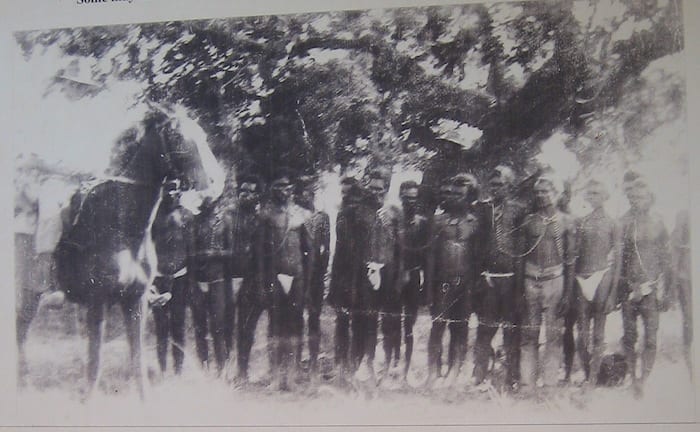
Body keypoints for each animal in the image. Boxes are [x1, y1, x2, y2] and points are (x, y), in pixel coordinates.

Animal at [53, 106, 223, 400]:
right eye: (177, 137)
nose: (215, 183)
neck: (123, 227)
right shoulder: (98, 302)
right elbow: (94, 367)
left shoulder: (136, 301)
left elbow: (138, 366)